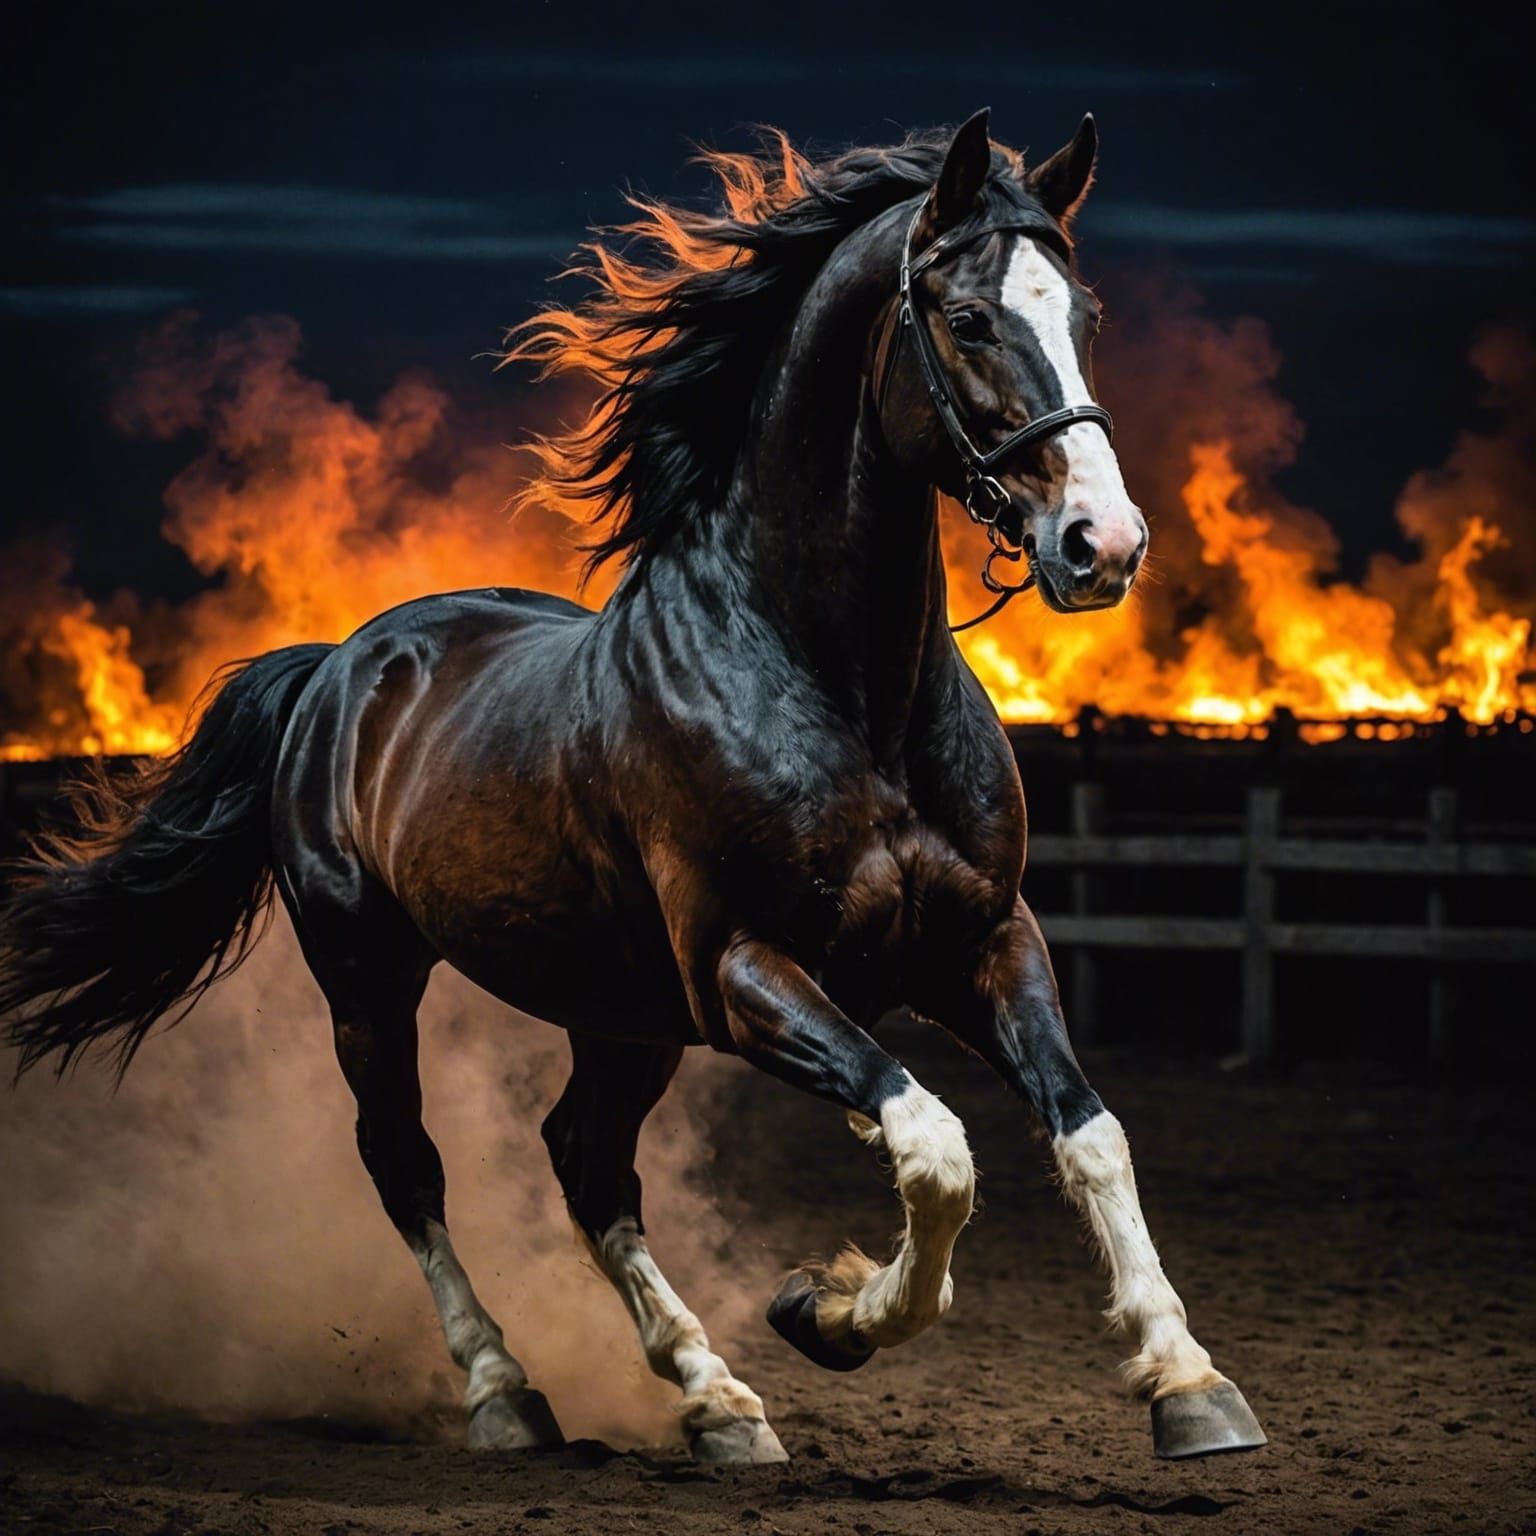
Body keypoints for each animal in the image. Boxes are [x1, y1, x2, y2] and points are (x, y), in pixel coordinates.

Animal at [0, 109, 1266, 1465]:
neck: (841, 691)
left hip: (617, 1011)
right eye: (970, 317)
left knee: (587, 1164)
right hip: (371, 977)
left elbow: (1088, 1135)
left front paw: (1189, 1384)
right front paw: (828, 1311)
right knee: (407, 1163)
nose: (1103, 545)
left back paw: (717, 1399)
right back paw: (509, 1392)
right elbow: (932, 1147)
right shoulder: (742, 970)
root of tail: (336, 668)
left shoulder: (984, 941)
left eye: (1082, 311)